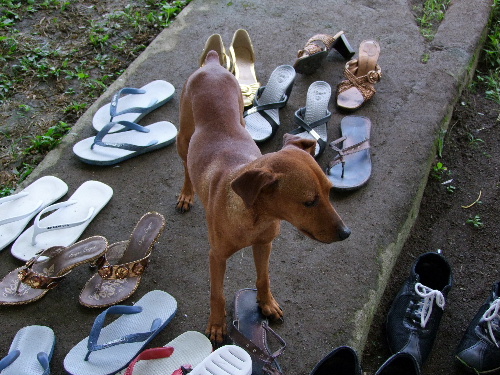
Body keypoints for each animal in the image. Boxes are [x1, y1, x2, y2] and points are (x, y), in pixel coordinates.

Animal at [178, 50, 350, 344]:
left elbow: (263, 277)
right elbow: (217, 294)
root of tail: (211, 64)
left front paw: (267, 304)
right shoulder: (216, 257)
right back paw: (187, 195)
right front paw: (216, 325)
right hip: (183, 137)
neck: (255, 217)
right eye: (309, 202)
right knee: (187, 169)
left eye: (329, 191)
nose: (346, 233)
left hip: (240, 116)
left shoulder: (264, 244)